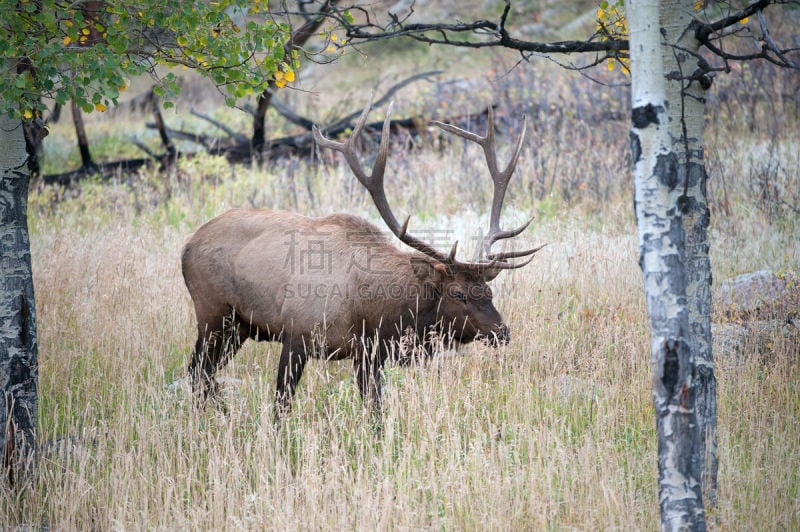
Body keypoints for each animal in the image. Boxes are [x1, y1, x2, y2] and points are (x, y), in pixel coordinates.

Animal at [181, 100, 544, 416]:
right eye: (458, 293)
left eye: (489, 291)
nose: (502, 331)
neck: (371, 312)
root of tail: (187, 245)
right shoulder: (297, 335)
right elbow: (281, 404)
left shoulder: (369, 354)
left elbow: (375, 409)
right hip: (213, 313)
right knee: (199, 370)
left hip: (238, 328)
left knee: (204, 373)